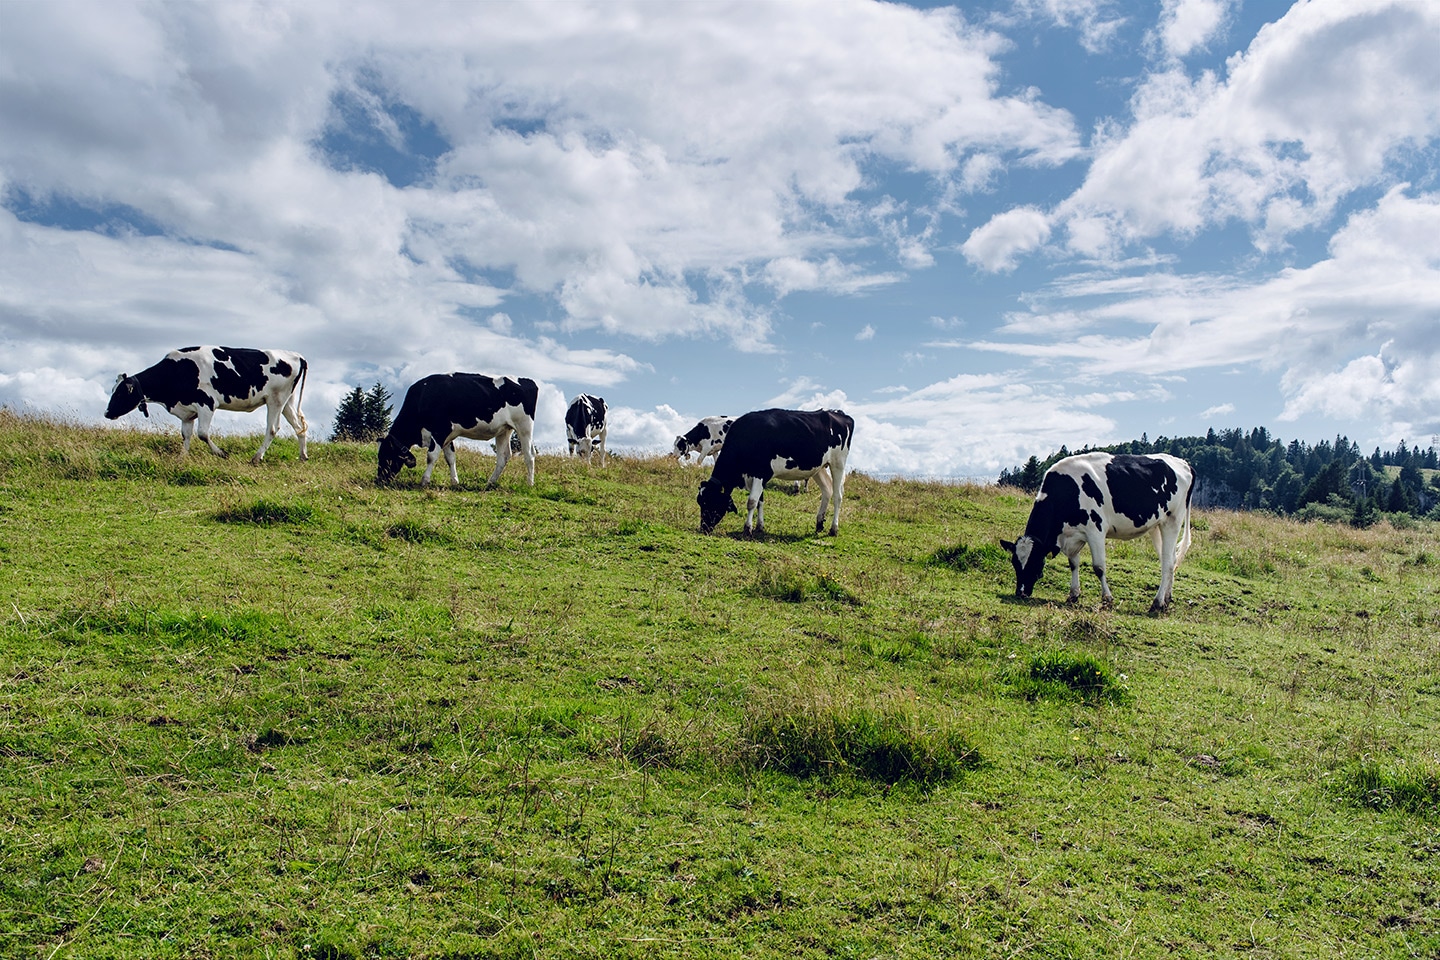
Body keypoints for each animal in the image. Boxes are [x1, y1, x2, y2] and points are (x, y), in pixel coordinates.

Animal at [104, 345, 312, 466]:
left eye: (120, 393)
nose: (106, 413)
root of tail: (297, 355)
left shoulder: (207, 403)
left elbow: (202, 434)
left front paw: (221, 453)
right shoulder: (187, 412)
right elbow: (186, 436)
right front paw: (182, 458)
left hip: (276, 399)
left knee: (272, 428)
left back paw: (256, 457)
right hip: (288, 401)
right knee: (299, 427)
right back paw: (303, 456)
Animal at [377, 371, 541, 483]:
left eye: (385, 456)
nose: (379, 480)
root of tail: (528, 381)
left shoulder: (440, 431)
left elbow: (431, 456)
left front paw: (425, 480)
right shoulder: (447, 435)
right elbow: (450, 458)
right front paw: (455, 481)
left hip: (524, 426)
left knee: (529, 454)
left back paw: (529, 483)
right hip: (504, 430)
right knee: (504, 456)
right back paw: (490, 482)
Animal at [696, 408, 852, 538]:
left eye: (710, 502)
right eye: (700, 502)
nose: (704, 528)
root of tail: (838, 413)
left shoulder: (760, 473)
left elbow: (751, 502)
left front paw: (747, 529)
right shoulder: (757, 476)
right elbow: (760, 501)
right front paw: (759, 527)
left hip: (838, 463)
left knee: (838, 496)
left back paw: (833, 529)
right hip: (818, 468)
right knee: (827, 490)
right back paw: (819, 524)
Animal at [1002, 451, 1192, 616]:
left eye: (1035, 562)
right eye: (1014, 563)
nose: (1021, 593)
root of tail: (1184, 463)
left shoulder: (1096, 530)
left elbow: (1099, 567)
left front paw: (1107, 599)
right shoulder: (1072, 535)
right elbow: (1073, 564)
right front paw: (1073, 595)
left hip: (1172, 521)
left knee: (1167, 563)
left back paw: (1157, 603)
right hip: (1156, 526)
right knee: (1171, 559)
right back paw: (1166, 600)